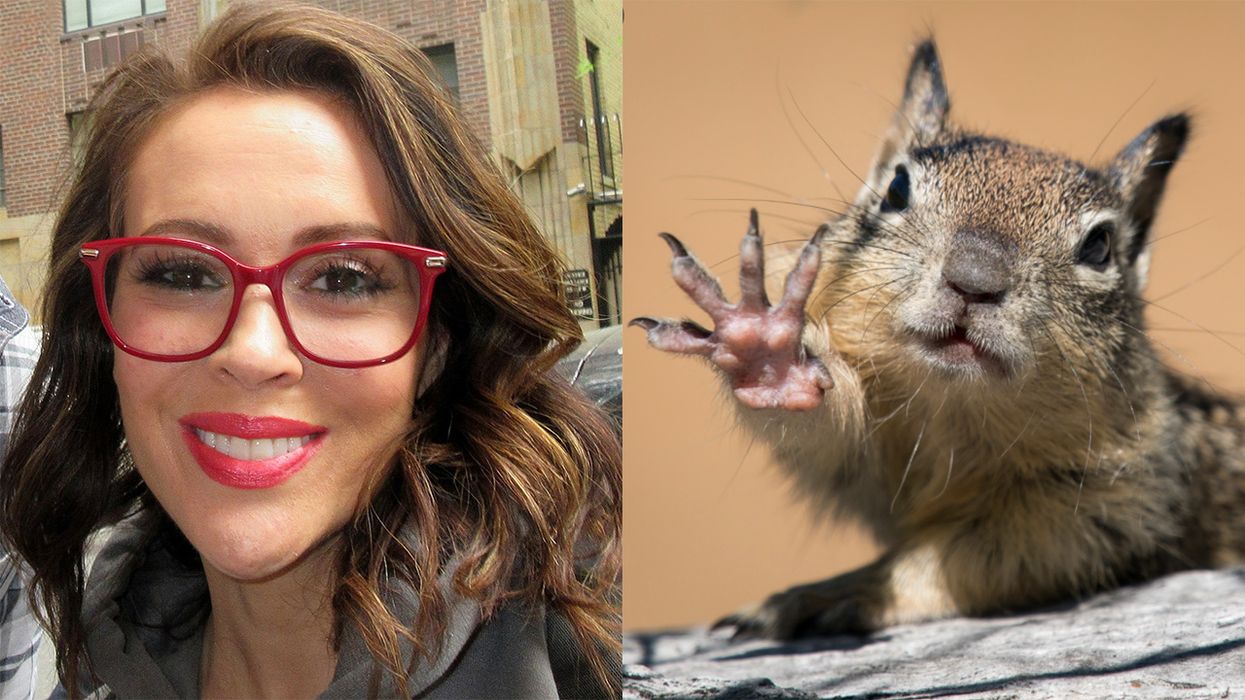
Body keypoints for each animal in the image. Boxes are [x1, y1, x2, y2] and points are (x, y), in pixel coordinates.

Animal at [633, 39, 1245, 639]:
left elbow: (968, 559)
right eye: (897, 188)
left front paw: (837, 592)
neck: (949, 407)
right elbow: (830, 431)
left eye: (1100, 246)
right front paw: (767, 351)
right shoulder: (868, 461)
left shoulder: (1120, 500)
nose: (975, 279)